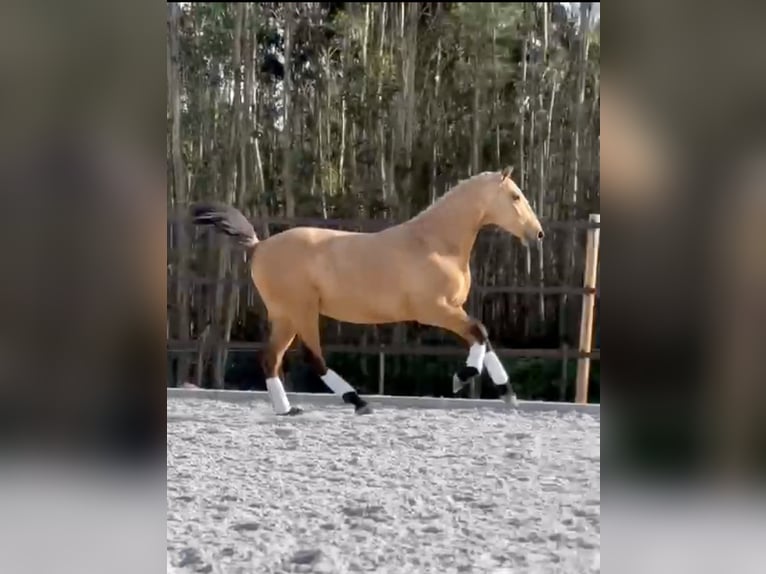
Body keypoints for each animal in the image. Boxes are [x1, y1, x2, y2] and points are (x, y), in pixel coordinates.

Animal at [192, 168, 544, 418]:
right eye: (515, 196)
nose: (537, 234)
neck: (434, 244)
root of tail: (259, 246)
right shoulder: (434, 310)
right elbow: (480, 331)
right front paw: (463, 379)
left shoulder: (450, 310)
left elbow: (483, 337)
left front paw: (508, 393)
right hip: (300, 310)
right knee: (312, 357)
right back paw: (357, 401)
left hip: (284, 316)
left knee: (270, 359)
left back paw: (288, 409)